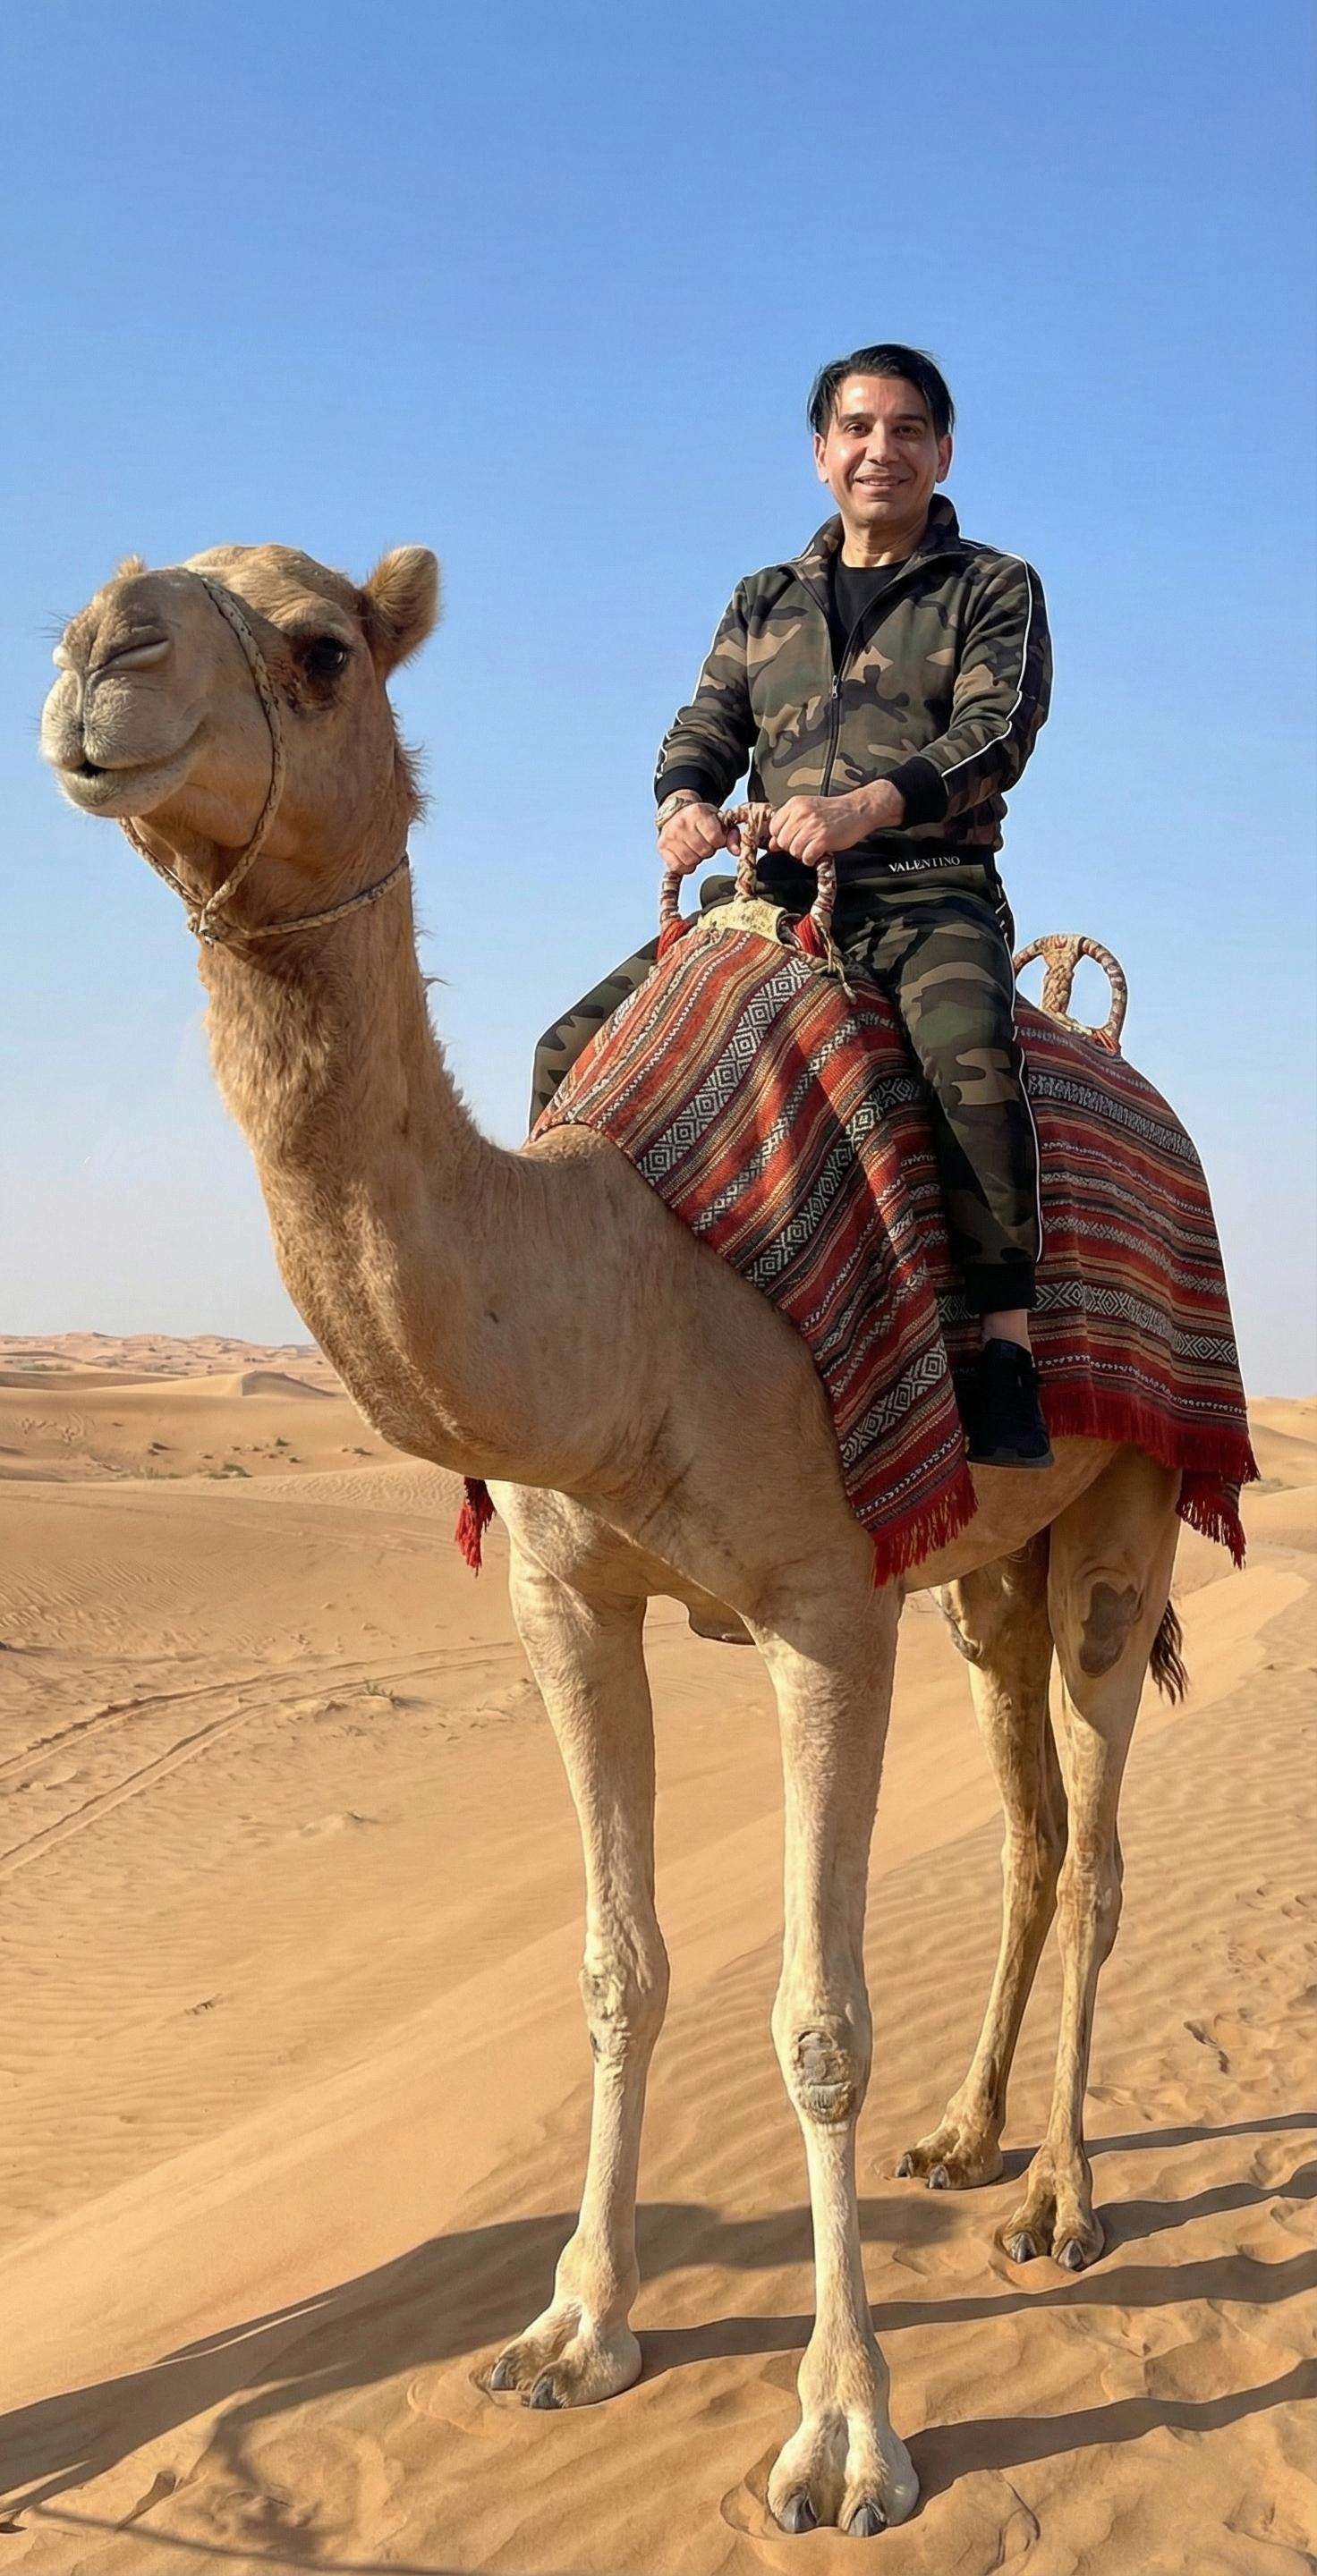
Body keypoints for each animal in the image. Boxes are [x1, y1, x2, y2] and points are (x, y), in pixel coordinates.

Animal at [42, 542, 1188, 2540]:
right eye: (81, 616)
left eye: (324, 649)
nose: (101, 651)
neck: (637, 1292)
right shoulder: (569, 1600)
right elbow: (616, 1964)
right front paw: (574, 2332)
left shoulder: (824, 1608)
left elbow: (815, 2023)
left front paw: (845, 2435)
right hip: (991, 1571)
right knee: (1035, 1833)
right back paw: (966, 2141)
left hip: (1121, 1522)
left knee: (1107, 1837)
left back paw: (1060, 2200)